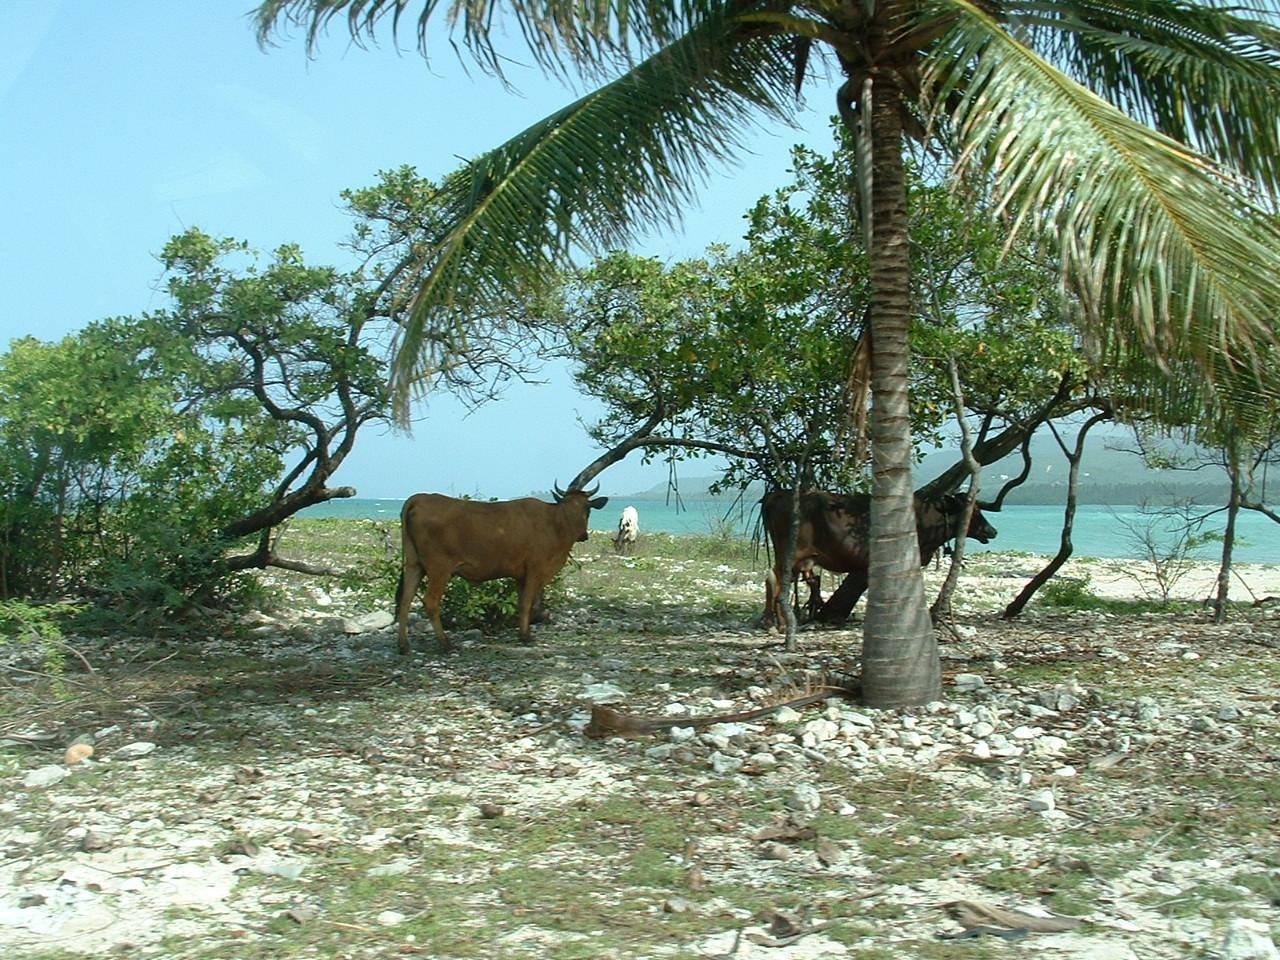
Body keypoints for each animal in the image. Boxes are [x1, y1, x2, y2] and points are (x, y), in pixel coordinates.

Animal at [395, 483, 608, 654]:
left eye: (587, 508)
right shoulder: (535, 569)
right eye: (570, 508)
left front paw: (523, 632)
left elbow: (523, 603)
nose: (583, 535)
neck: (556, 523)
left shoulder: (521, 575)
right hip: (440, 568)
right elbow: (527, 603)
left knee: (405, 600)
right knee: (430, 602)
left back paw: (404, 645)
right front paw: (526, 636)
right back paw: (445, 644)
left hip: (414, 564)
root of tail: (420, 498)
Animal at [761, 491, 997, 628]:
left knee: (774, 579)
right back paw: (779, 623)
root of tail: (776, 495)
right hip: (790, 553)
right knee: (775, 580)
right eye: (972, 510)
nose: (992, 530)